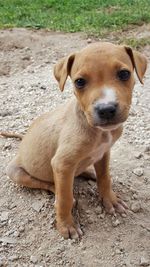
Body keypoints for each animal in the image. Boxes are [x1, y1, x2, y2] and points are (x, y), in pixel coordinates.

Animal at [2, 43, 146, 240]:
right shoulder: (62, 164)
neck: (98, 132)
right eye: (80, 82)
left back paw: (89, 172)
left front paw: (110, 200)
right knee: (48, 185)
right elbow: (65, 199)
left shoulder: (104, 152)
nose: (106, 109)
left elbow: (105, 177)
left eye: (124, 74)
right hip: (15, 173)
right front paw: (66, 225)